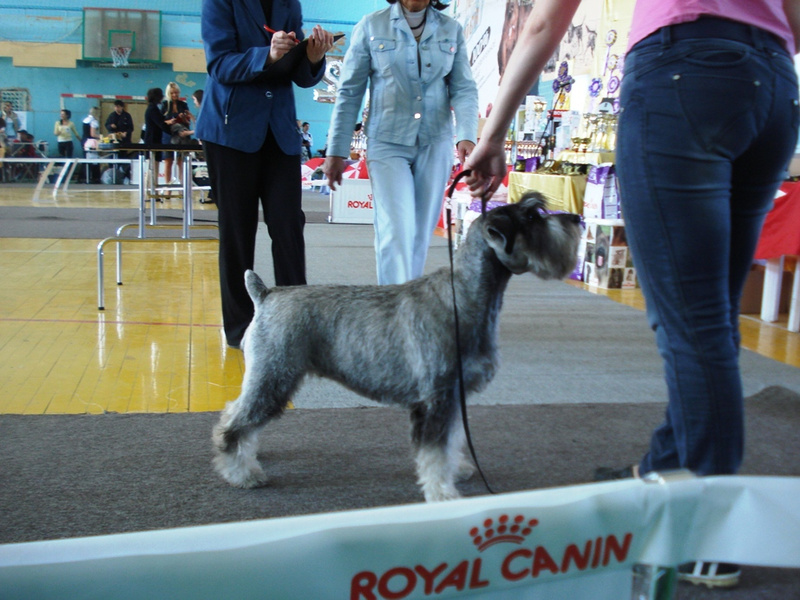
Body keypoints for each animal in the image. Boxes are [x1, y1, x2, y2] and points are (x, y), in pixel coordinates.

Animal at [212, 192, 581, 502]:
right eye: (532, 216)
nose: (577, 219)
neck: (465, 295)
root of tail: (265, 295)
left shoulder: (454, 397)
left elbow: (452, 441)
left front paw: (457, 470)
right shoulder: (436, 398)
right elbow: (435, 452)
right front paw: (442, 494)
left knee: (236, 412)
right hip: (273, 377)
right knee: (234, 424)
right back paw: (240, 472)